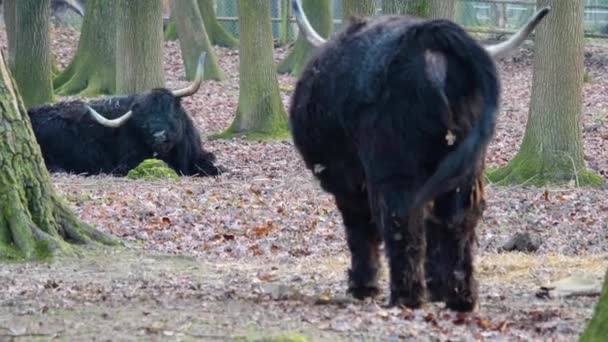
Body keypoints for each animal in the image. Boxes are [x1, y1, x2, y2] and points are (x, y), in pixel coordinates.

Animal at [290, 0, 552, 312]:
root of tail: (430, 36)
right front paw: (436, 287)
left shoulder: (348, 182)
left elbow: (360, 230)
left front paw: (363, 287)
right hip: (467, 168)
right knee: (458, 220)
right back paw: (460, 296)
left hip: (395, 169)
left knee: (402, 220)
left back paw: (406, 297)